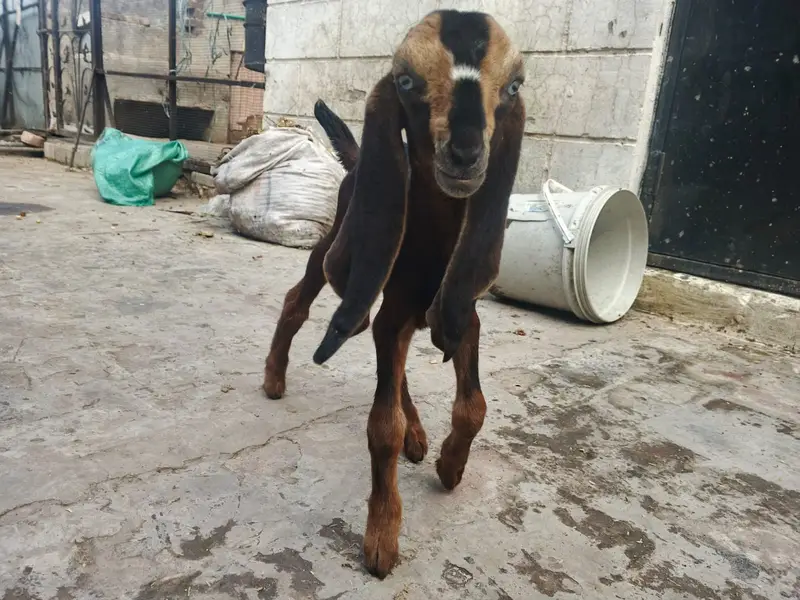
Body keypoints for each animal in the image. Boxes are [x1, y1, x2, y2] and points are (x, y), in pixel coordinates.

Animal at [263, 9, 525, 579]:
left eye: (514, 86)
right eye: (406, 81)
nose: (466, 154)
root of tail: (360, 159)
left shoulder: (463, 314)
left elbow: (474, 405)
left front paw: (451, 465)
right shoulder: (394, 312)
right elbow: (381, 425)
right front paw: (382, 535)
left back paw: (419, 436)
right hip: (340, 251)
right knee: (300, 299)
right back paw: (274, 377)